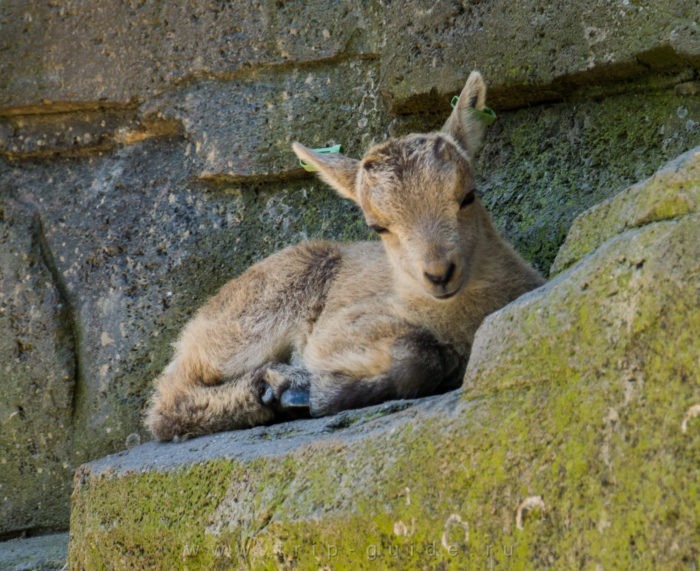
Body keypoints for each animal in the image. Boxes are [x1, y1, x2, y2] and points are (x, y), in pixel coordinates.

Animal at [146, 69, 540, 440]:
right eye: (378, 226)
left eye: (468, 196)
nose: (439, 273)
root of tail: (192, 329)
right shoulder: (335, 333)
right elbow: (418, 354)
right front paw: (318, 393)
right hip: (253, 318)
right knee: (167, 401)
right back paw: (272, 389)